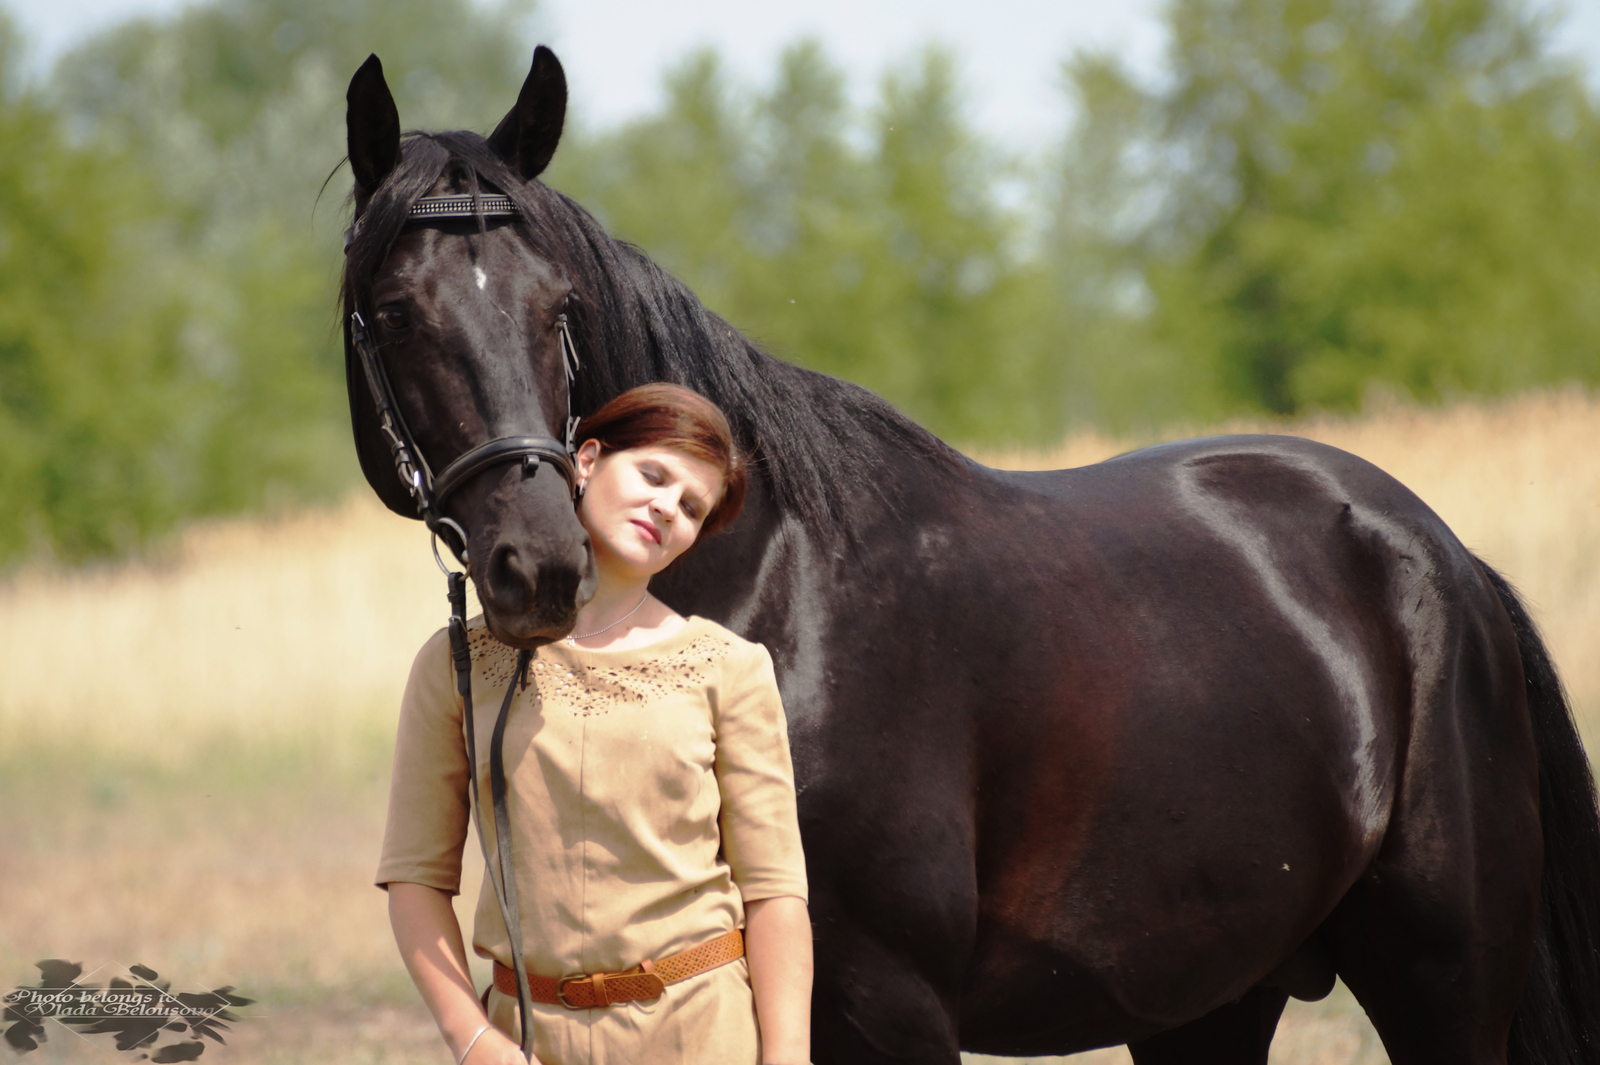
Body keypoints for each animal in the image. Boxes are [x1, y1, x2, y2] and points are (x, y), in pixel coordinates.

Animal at [344, 49, 1600, 1061]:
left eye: (559, 306)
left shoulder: (890, 1010)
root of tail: (1445, 560)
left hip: (1441, 985)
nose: (540, 565)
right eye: (393, 313)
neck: (779, 600)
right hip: (1207, 1000)